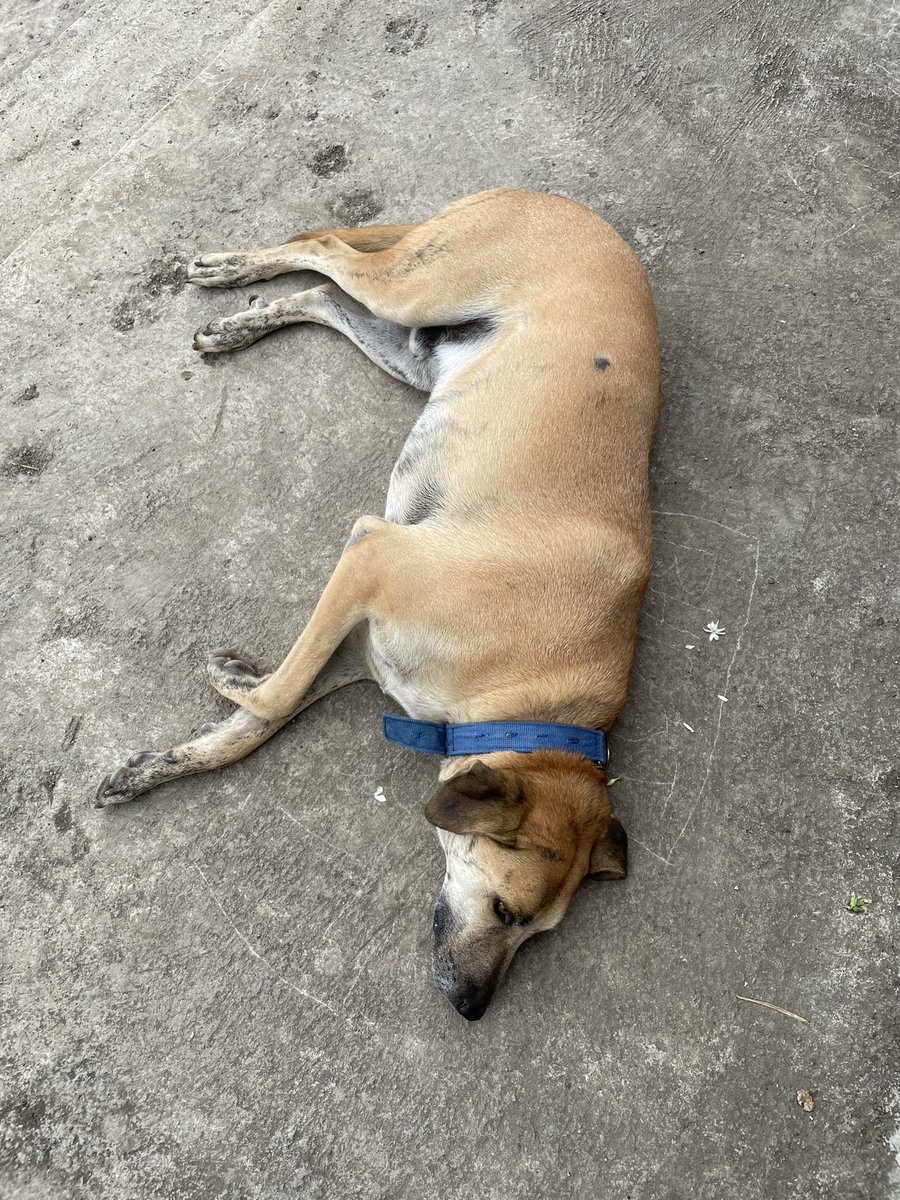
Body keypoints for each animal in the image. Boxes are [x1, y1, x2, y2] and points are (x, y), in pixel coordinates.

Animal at [97, 187, 662, 1022]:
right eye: (508, 913)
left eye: (537, 934)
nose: (472, 1008)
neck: (534, 698)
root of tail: (547, 197)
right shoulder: (371, 558)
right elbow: (276, 695)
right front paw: (230, 684)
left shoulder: (358, 652)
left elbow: (258, 722)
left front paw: (165, 759)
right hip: (417, 287)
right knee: (328, 247)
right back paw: (232, 271)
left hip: (415, 346)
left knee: (325, 296)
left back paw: (240, 322)